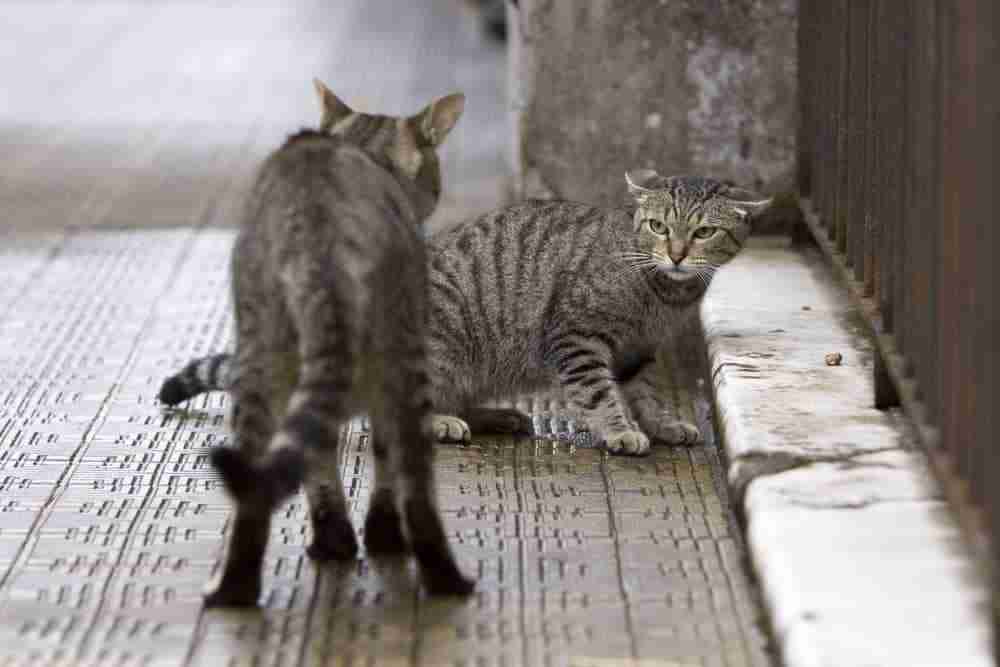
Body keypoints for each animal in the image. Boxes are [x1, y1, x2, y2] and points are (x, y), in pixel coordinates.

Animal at [166, 172, 772, 460]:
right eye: (657, 226)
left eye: (704, 232)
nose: (677, 253)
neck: (662, 293)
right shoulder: (577, 338)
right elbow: (600, 394)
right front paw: (621, 432)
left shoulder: (636, 351)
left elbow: (643, 393)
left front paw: (662, 423)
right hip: (437, 348)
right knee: (388, 414)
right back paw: (443, 422)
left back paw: (495, 416)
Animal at [201, 79, 474, 612]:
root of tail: (316, 233)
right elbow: (385, 465)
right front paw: (382, 535)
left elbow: (319, 462)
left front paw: (336, 538)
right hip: (404, 355)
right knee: (415, 481)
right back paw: (445, 579)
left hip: (261, 356)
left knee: (256, 482)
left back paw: (236, 587)